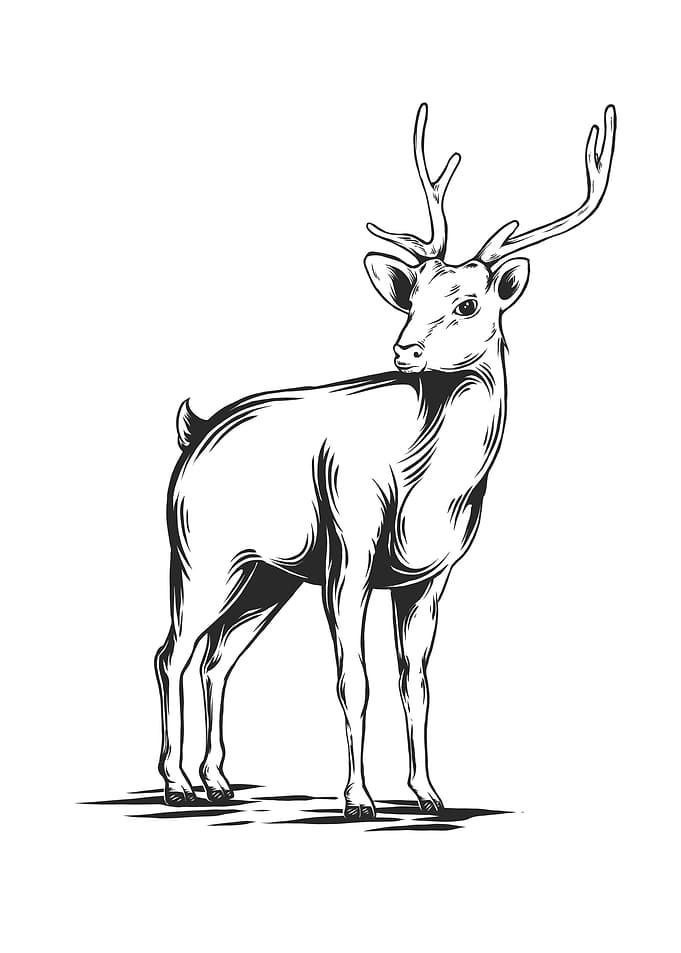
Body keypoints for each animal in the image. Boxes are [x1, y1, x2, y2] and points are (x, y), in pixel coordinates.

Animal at [155, 103, 616, 818]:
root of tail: (193, 432)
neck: (428, 483)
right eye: (411, 296)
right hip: (202, 557)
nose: (405, 351)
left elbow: (415, 682)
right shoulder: (350, 552)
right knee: (172, 653)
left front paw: (429, 793)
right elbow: (356, 678)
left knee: (217, 658)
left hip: (266, 578)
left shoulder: (430, 575)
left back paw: (217, 780)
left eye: (469, 302)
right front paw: (358, 799)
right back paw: (178, 783)